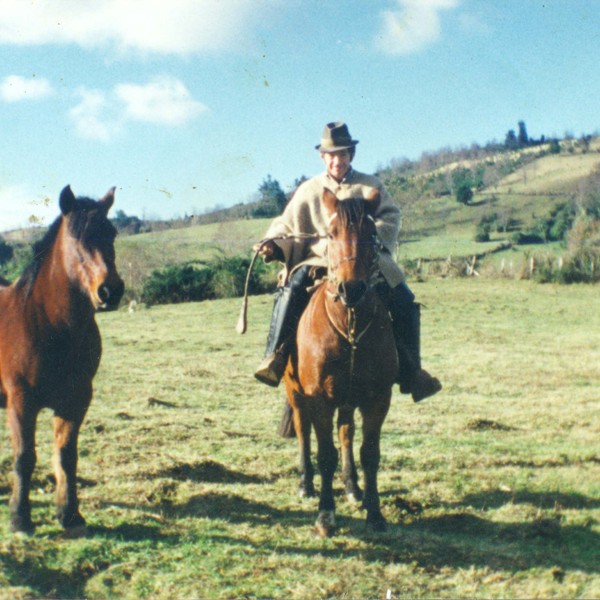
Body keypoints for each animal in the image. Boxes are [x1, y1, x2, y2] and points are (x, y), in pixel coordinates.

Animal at [0, 184, 123, 536]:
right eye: (75, 236)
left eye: (112, 233)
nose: (110, 291)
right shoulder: (21, 401)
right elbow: (24, 457)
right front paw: (20, 518)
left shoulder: (75, 400)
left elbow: (66, 455)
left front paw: (69, 514)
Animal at [284, 188, 398, 536]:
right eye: (331, 234)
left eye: (372, 233)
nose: (352, 288)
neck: (349, 326)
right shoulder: (318, 399)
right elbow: (325, 455)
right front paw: (325, 515)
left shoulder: (377, 399)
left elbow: (369, 454)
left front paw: (375, 513)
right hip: (295, 394)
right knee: (303, 430)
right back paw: (306, 484)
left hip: (347, 400)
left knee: (346, 432)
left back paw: (352, 487)